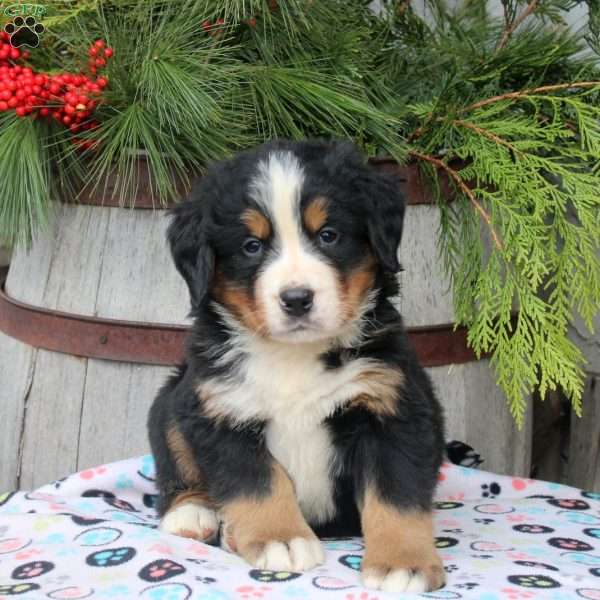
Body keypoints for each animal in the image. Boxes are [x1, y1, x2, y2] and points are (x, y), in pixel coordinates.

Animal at [147, 138, 446, 592]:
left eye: (329, 235)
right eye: (251, 246)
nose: (297, 298)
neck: (293, 354)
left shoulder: (390, 406)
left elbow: (396, 494)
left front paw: (402, 563)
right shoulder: (221, 409)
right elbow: (258, 484)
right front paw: (281, 539)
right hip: (172, 400)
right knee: (174, 455)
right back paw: (194, 512)